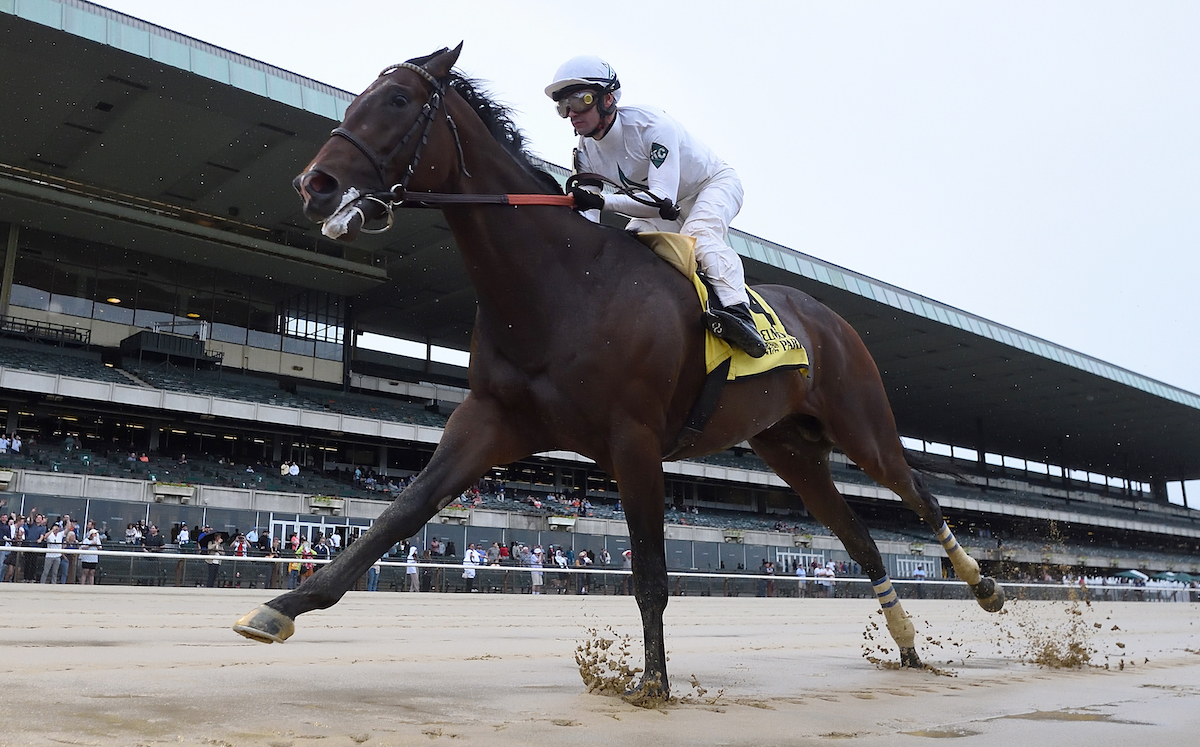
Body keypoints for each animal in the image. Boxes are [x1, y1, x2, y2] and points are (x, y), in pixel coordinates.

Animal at [236, 45, 1003, 701]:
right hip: (789, 448)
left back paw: (984, 585)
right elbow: (400, 512)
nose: (315, 184)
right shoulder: (492, 420)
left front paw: (654, 684)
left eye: (396, 100)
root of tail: (831, 319)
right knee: (861, 537)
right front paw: (281, 607)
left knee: (919, 495)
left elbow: (652, 575)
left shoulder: (634, 439)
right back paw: (907, 644)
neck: (561, 284)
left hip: (860, 421)